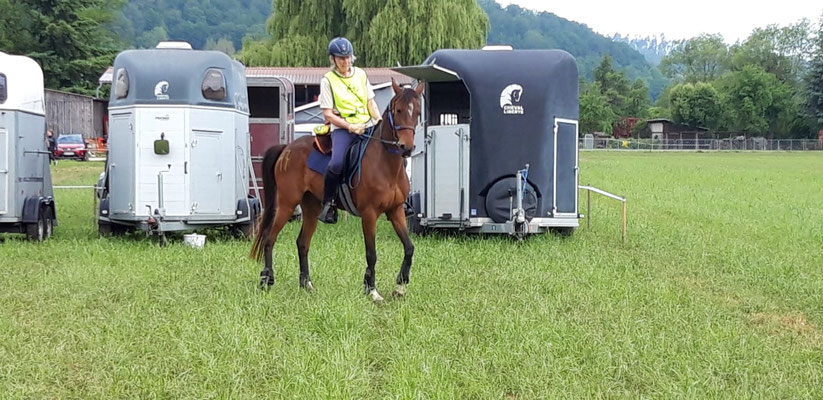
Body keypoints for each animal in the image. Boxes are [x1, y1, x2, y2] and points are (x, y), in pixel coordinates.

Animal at [249, 79, 424, 302]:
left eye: (417, 112)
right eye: (399, 110)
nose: (406, 147)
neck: (385, 165)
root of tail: (287, 148)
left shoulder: (396, 210)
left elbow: (409, 247)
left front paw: (400, 286)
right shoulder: (369, 214)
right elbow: (371, 253)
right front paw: (371, 290)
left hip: (312, 208)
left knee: (302, 243)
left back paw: (307, 285)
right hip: (286, 204)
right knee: (270, 239)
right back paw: (266, 280)